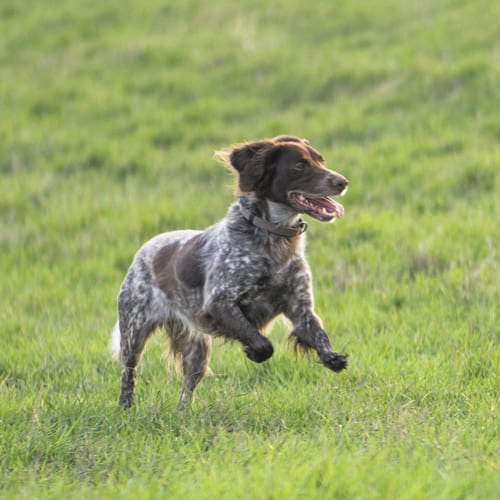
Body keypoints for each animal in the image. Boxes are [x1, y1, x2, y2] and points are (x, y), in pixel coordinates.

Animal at [113, 135, 348, 408]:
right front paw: (254, 352)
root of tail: (144, 249)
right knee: (129, 371)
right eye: (300, 165)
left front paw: (332, 358)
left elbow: (319, 334)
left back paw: (184, 413)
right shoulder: (218, 304)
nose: (342, 182)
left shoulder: (301, 308)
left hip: (196, 350)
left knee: (187, 388)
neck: (274, 238)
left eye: (321, 160)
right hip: (134, 330)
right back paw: (126, 407)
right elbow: (261, 342)